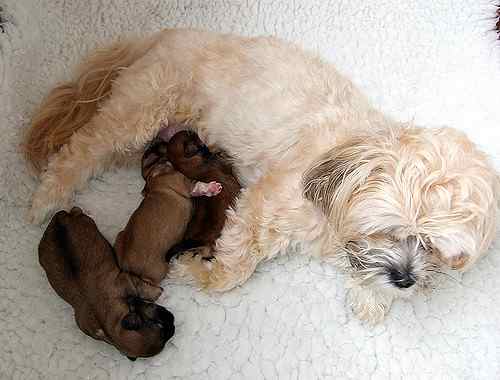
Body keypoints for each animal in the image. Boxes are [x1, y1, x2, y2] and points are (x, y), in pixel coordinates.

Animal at [37, 208, 174, 360]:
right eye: (159, 325)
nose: (173, 323)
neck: (109, 326)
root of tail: (61, 218)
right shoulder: (127, 280)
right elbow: (141, 286)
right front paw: (157, 292)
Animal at [115, 140, 223, 288]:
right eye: (151, 151)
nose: (155, 140)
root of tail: (131, 273)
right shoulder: (185, 183)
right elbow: (198, 185)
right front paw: (212, 188)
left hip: (119, 237)